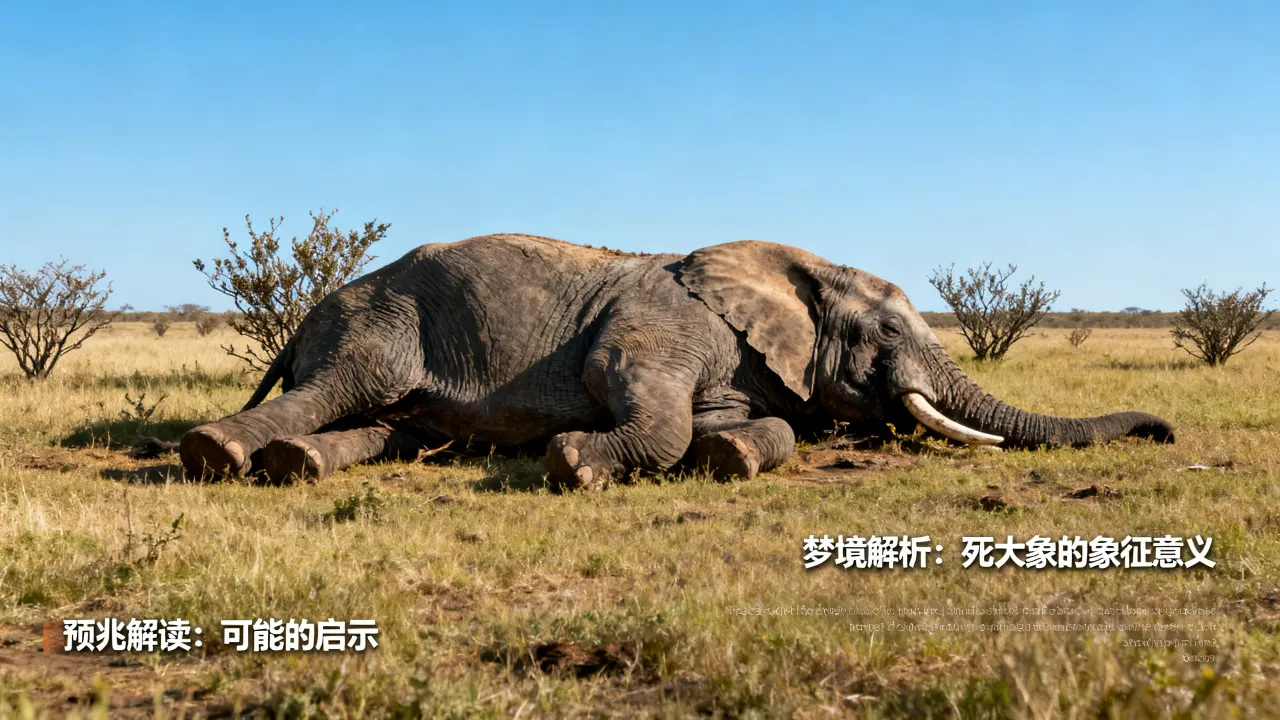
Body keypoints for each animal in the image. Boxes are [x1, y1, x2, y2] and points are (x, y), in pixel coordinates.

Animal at [178, 233, 1174, 488]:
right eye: (890, 337)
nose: (1165, 434)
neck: (796, 264)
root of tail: (313, 305)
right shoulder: (661, 326)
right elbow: (626, 390)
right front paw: (574, 463)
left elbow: (755, 422)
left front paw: (728, 452)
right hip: (379, 323)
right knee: (348, 386)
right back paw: (217, 454)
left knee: (386, 425)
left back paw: (298, 466)